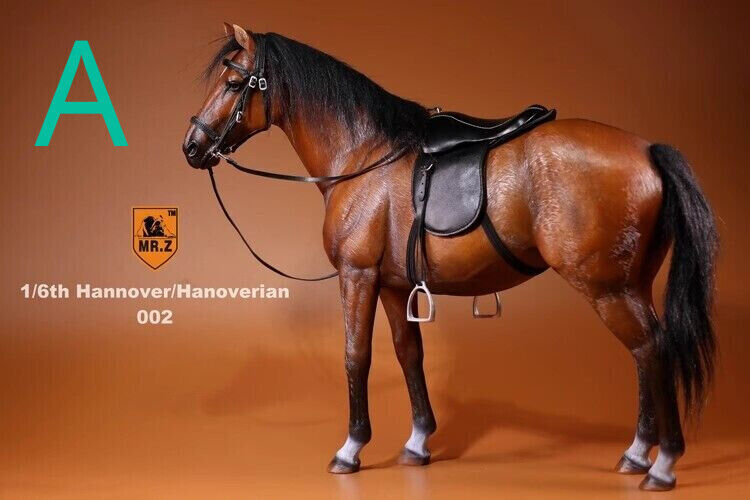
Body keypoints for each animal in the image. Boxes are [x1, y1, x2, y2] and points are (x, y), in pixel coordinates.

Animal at [182, 24, 718, 491]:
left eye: (234, 82)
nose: (192, 146)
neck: (363, 155)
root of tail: (647, 150)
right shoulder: (394, 284)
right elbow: (409, 354)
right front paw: (418, 441)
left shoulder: (357, 276)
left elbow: (356, 356)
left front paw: (351, 448)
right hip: (631, 284)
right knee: (645, 353)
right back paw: (637, 454)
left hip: (608, 288)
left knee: (651, 349)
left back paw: (662, 464)